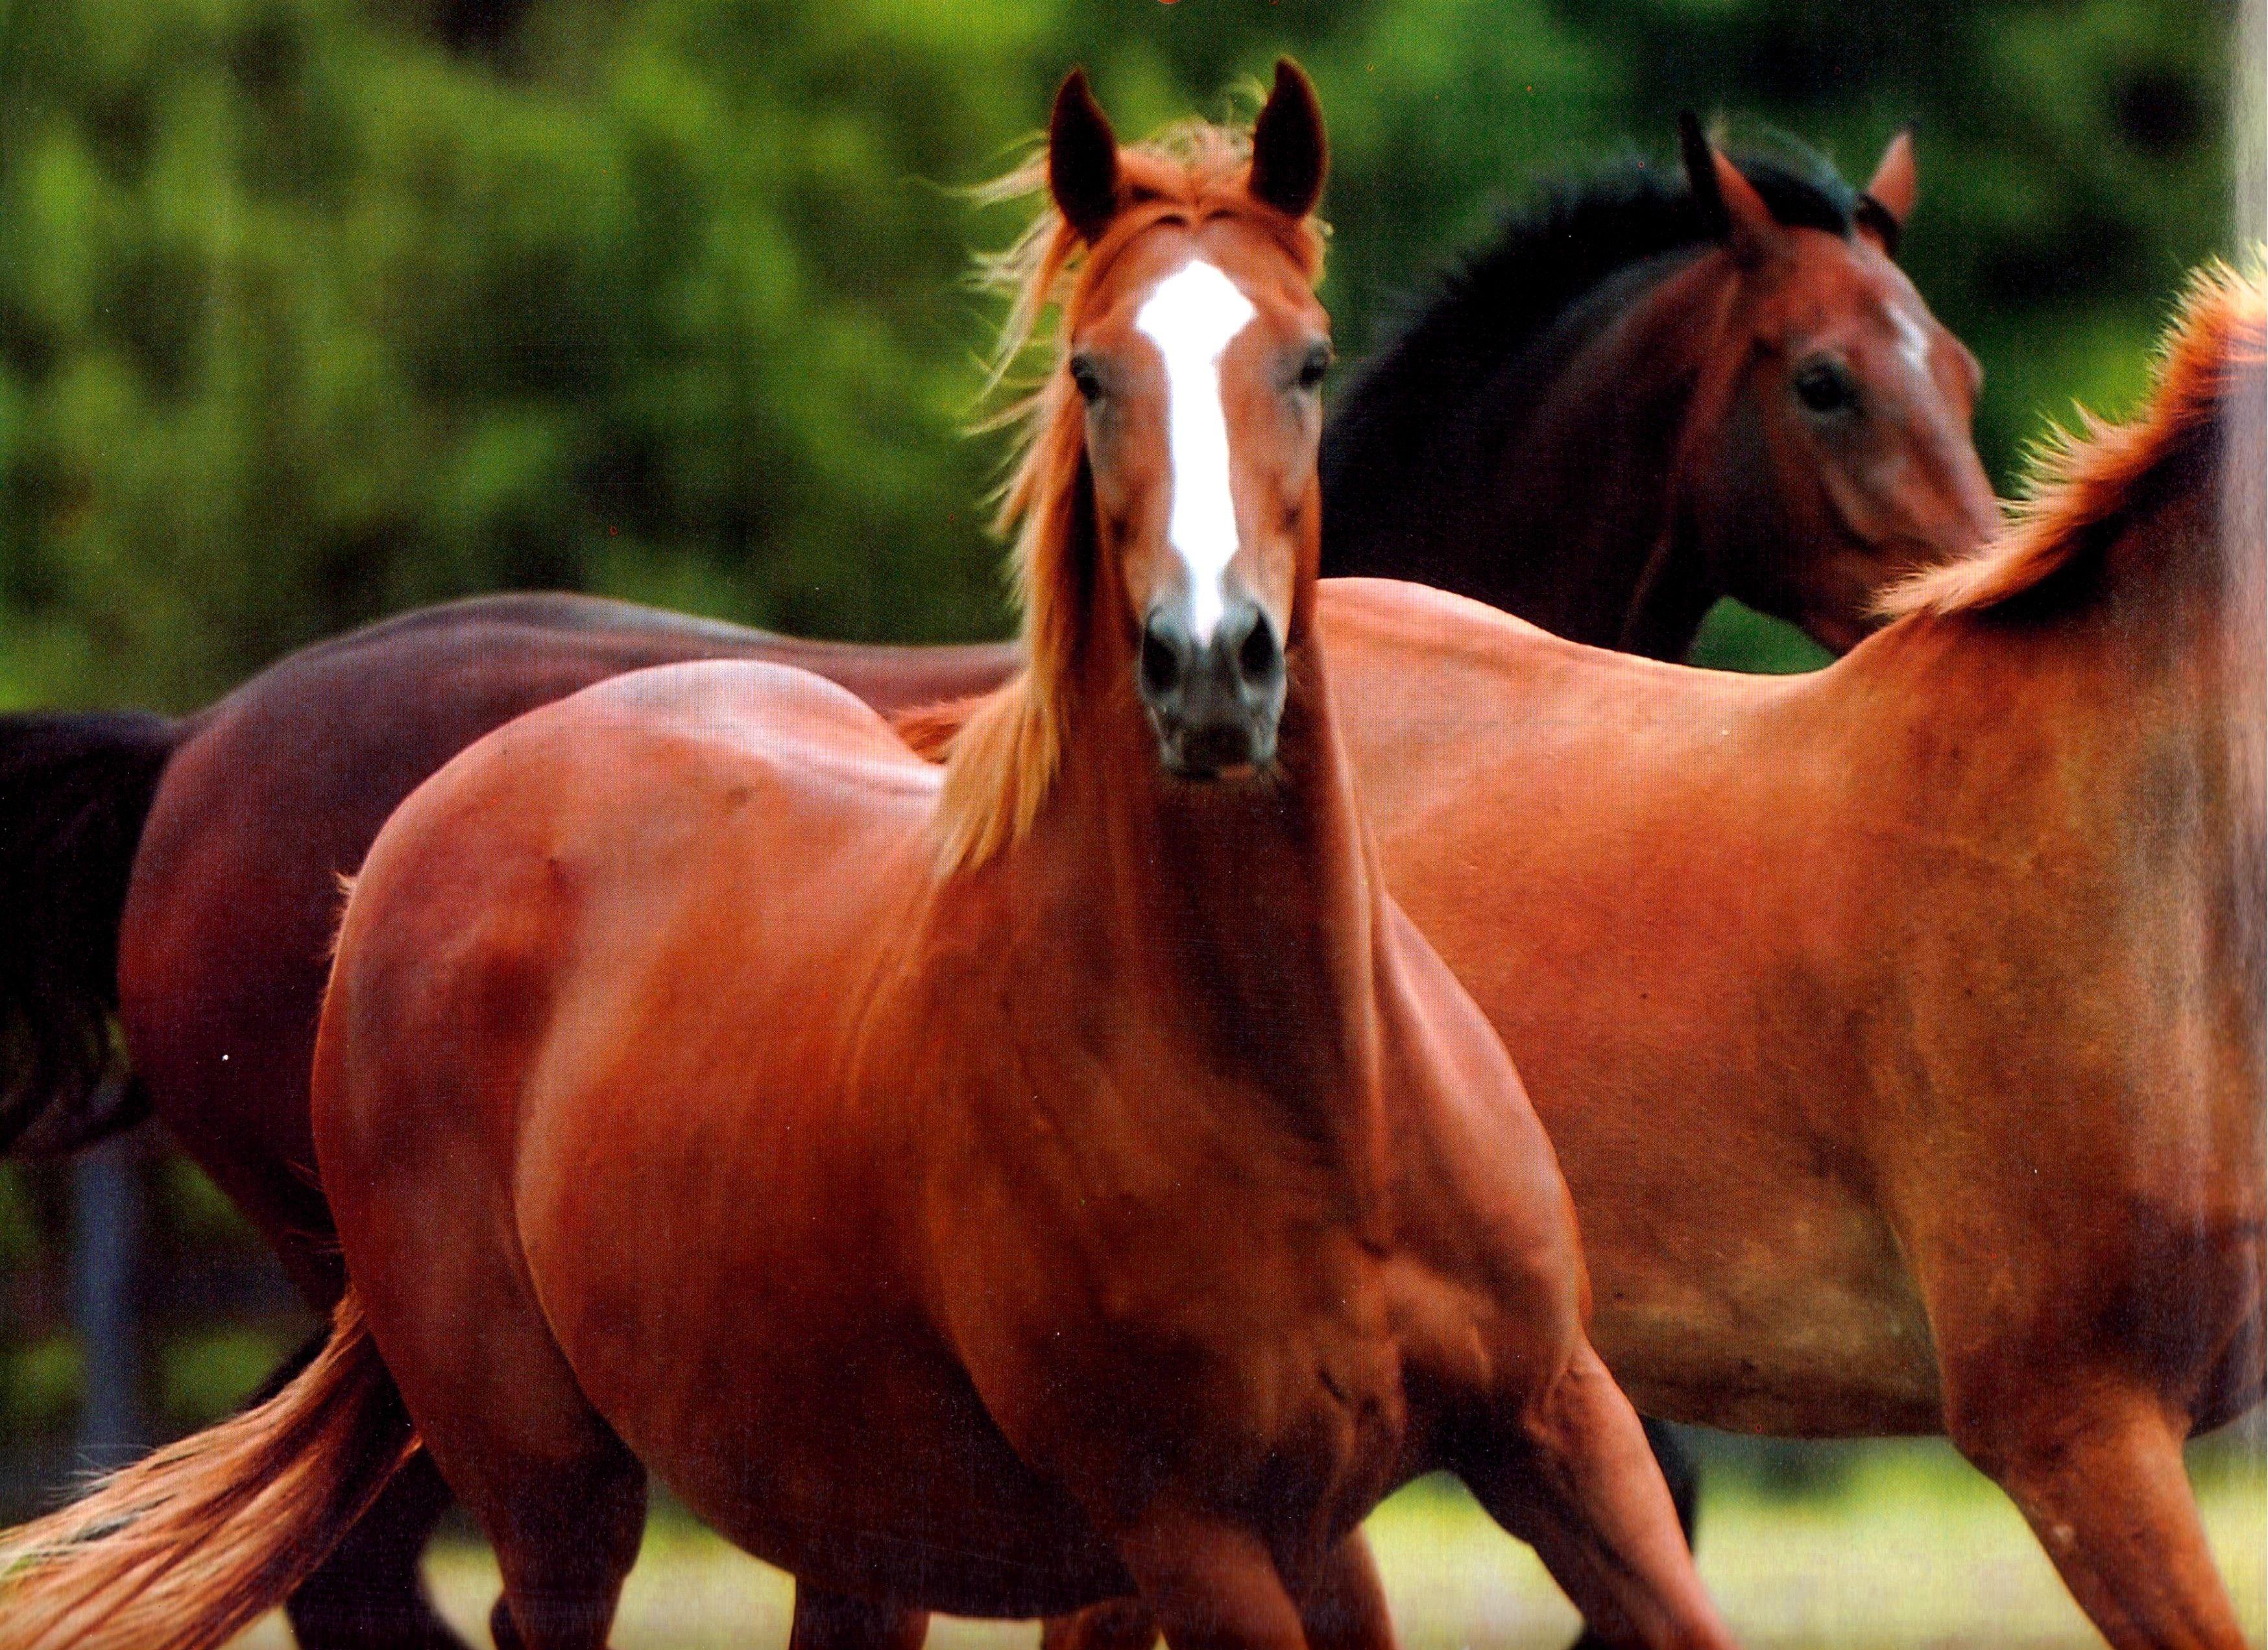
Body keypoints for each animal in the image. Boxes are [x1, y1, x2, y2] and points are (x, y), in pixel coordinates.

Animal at [0, 65, 1737, 1650]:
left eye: (1302, 360)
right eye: (1093, 374)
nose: (1211, 666)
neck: (1305, 1092)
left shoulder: (1552, 1432)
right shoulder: (1197, 1535)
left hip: (833, 1501)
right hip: (549, 1472)